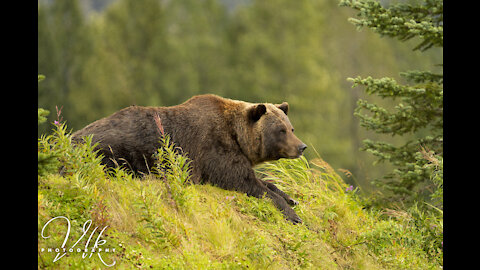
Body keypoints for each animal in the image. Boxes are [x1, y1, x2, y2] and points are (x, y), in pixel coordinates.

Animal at [73, 94, 306, 223]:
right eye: (281, 130)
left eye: (291, 128)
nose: (301, 147)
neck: (238, 136)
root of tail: (71, 136)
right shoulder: (213, 147)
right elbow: (243, 180)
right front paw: (293, 215)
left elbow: (260, 181)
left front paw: (290, 197)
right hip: (116, 148)